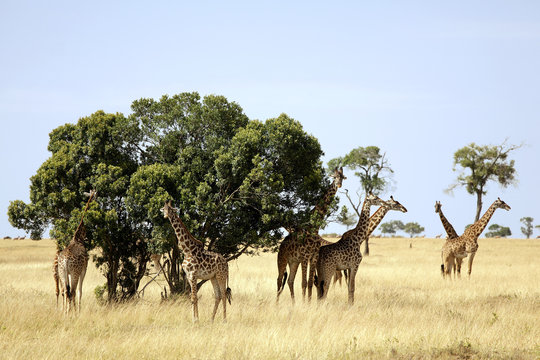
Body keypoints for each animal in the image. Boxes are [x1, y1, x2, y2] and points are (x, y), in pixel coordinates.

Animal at [274, 167, 346, 302]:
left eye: (342, 177)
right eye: (334, 177)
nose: (339, 184)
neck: (314, 227)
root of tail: (281, 245)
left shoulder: (313, 257)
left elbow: (310, 282)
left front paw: (308, 302)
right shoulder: (304, 256)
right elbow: (303, 283)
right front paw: (304, 303)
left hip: (293, 262)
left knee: (290, 280)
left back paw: (293, 303)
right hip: (282, 259)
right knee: (279, 280)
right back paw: (276, 303)